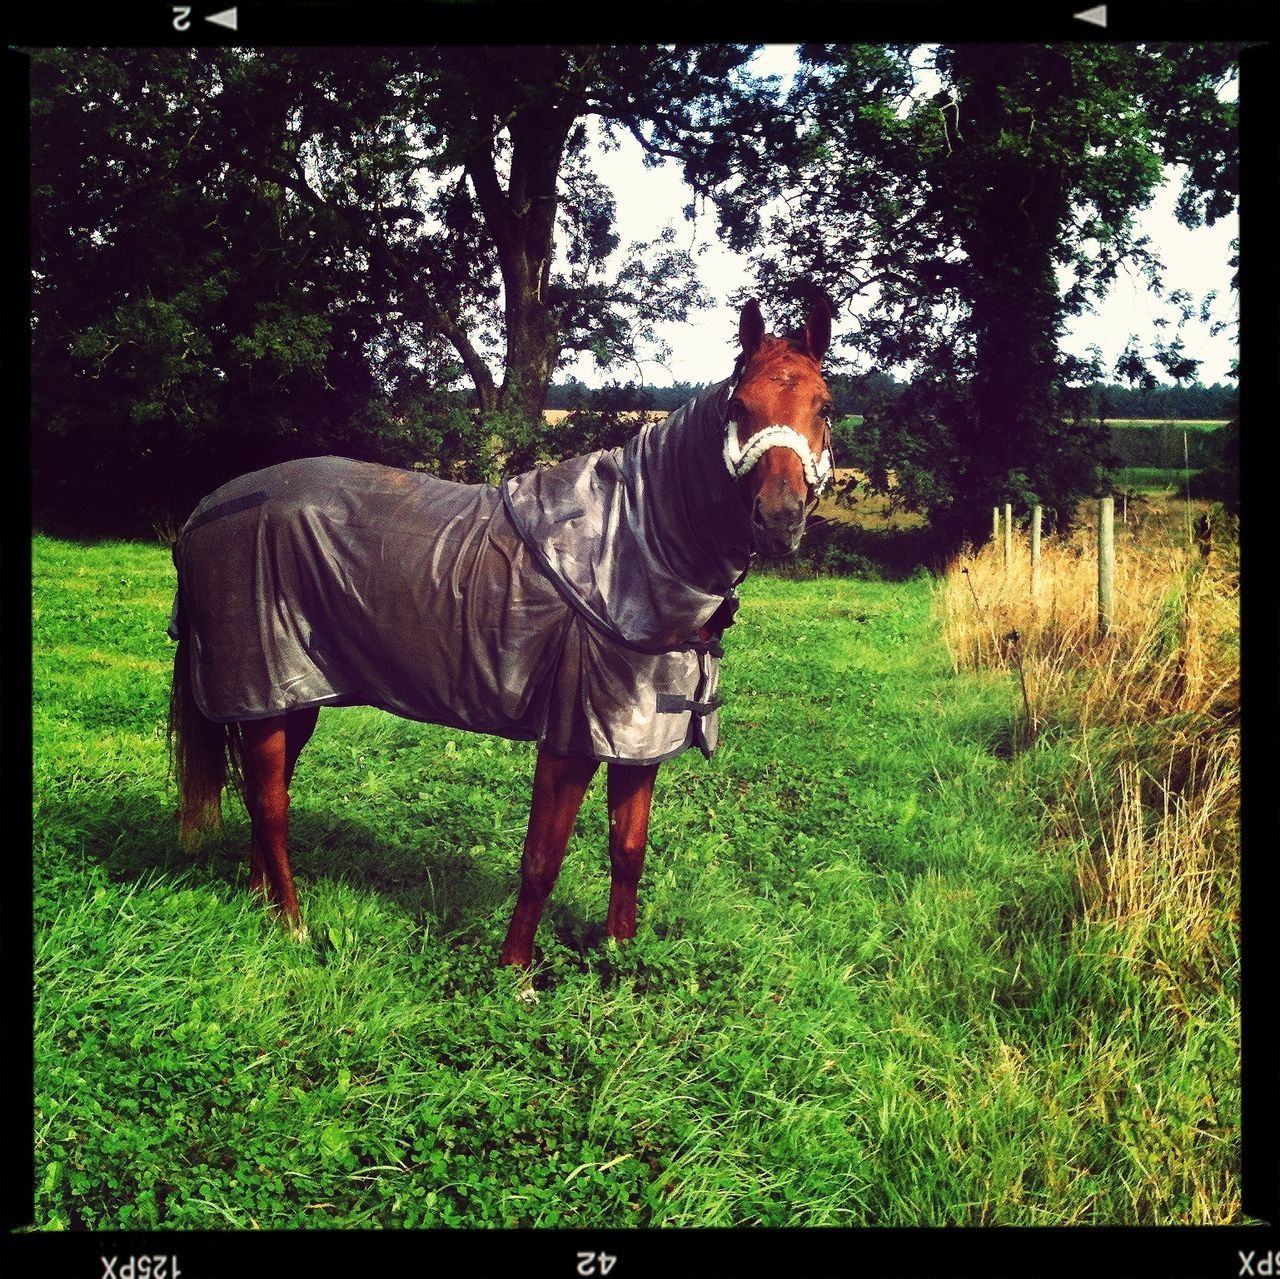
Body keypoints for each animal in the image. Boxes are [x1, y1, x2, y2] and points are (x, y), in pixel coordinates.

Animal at [167, 294, 829, 962]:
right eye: (740, 407)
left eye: (824, 406)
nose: (779, 520)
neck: (635, 541)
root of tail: (203, 512)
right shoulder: (571, 739)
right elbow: (542, 859)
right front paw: (516, 971)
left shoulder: (640, 740)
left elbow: (628, 851)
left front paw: (618, 956)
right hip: (265, 690)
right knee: (271, 804)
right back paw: (293, 924)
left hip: (293, 698)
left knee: (263, 796)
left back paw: (264, 906)